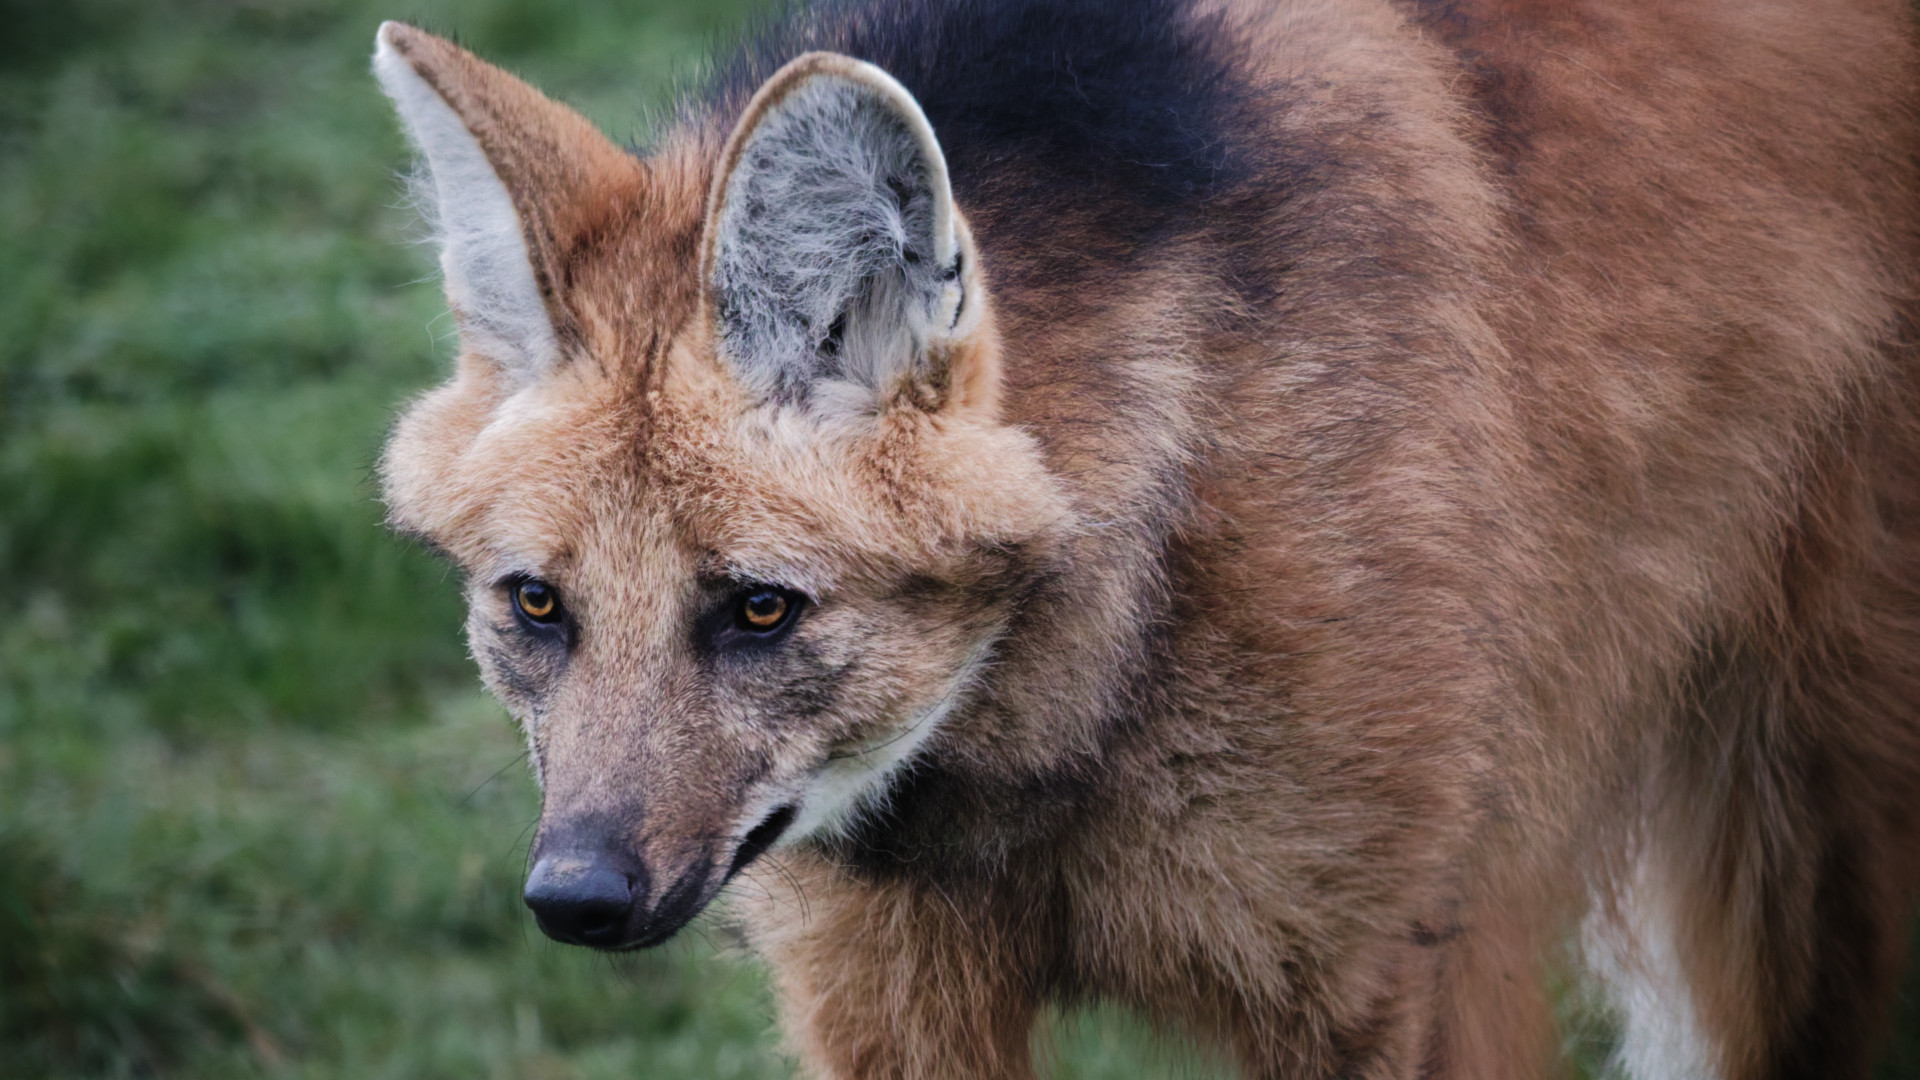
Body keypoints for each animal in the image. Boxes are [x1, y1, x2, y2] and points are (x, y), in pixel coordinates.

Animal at [370, 0, 1920, 1075]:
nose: (576, 898)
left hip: (1796, 822)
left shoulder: (1382, 975)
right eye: (535, 606)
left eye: (758, 608)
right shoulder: (888, 983)